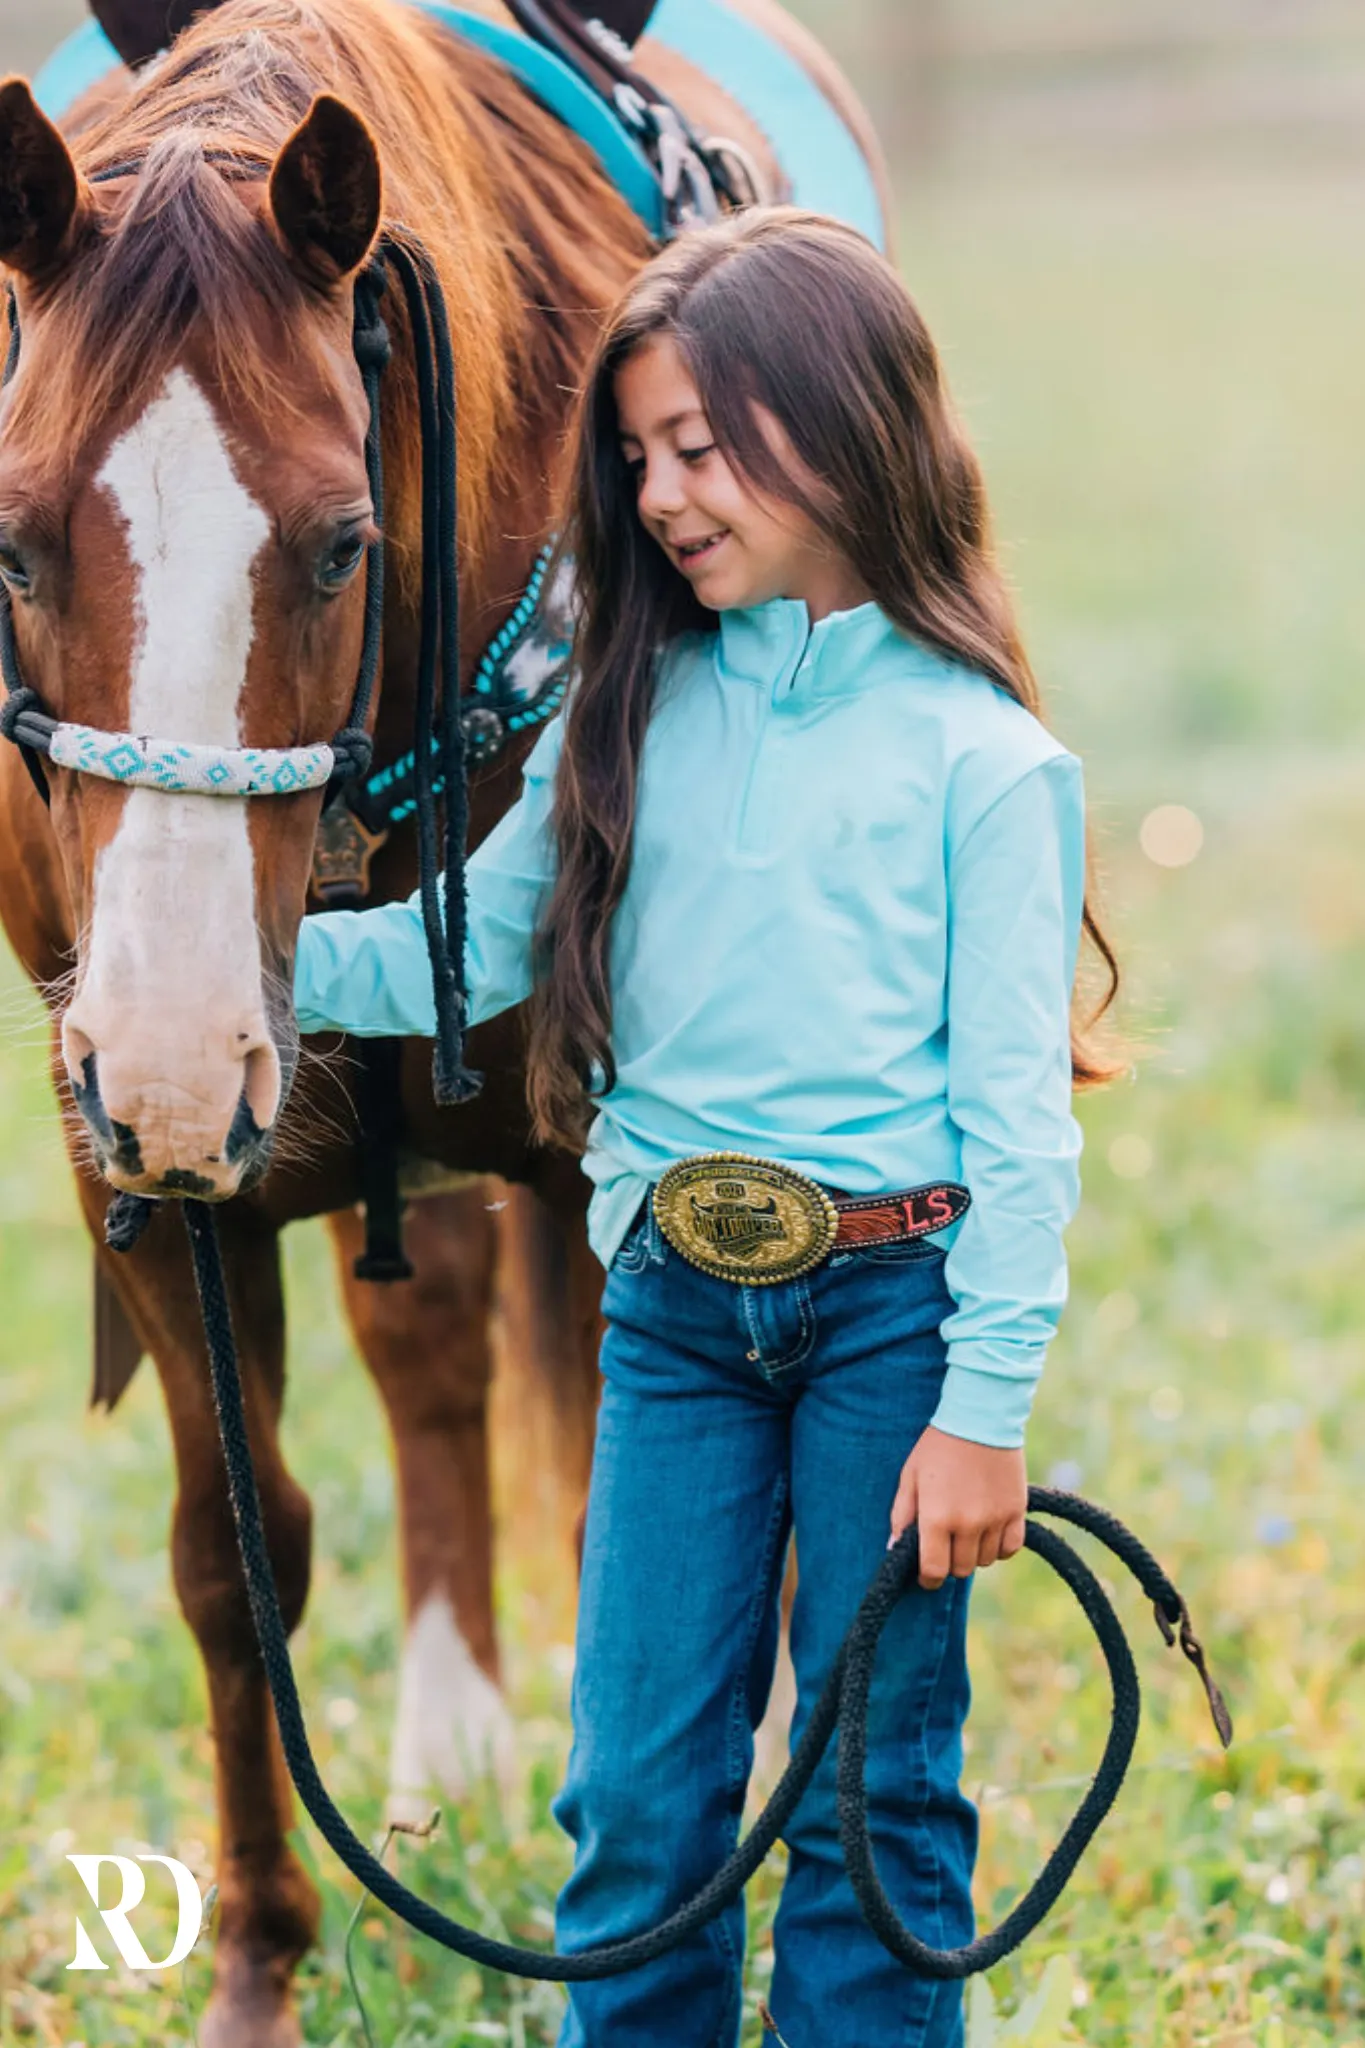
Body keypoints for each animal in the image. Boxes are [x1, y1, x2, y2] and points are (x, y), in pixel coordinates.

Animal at [0, 8, 888, 2039]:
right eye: (8, 545)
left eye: (342, 545)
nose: (175, 1052)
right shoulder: (138, 1173)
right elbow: (234, 1558)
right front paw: (260, 1960)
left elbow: (657, 1534)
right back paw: (449, 1747)